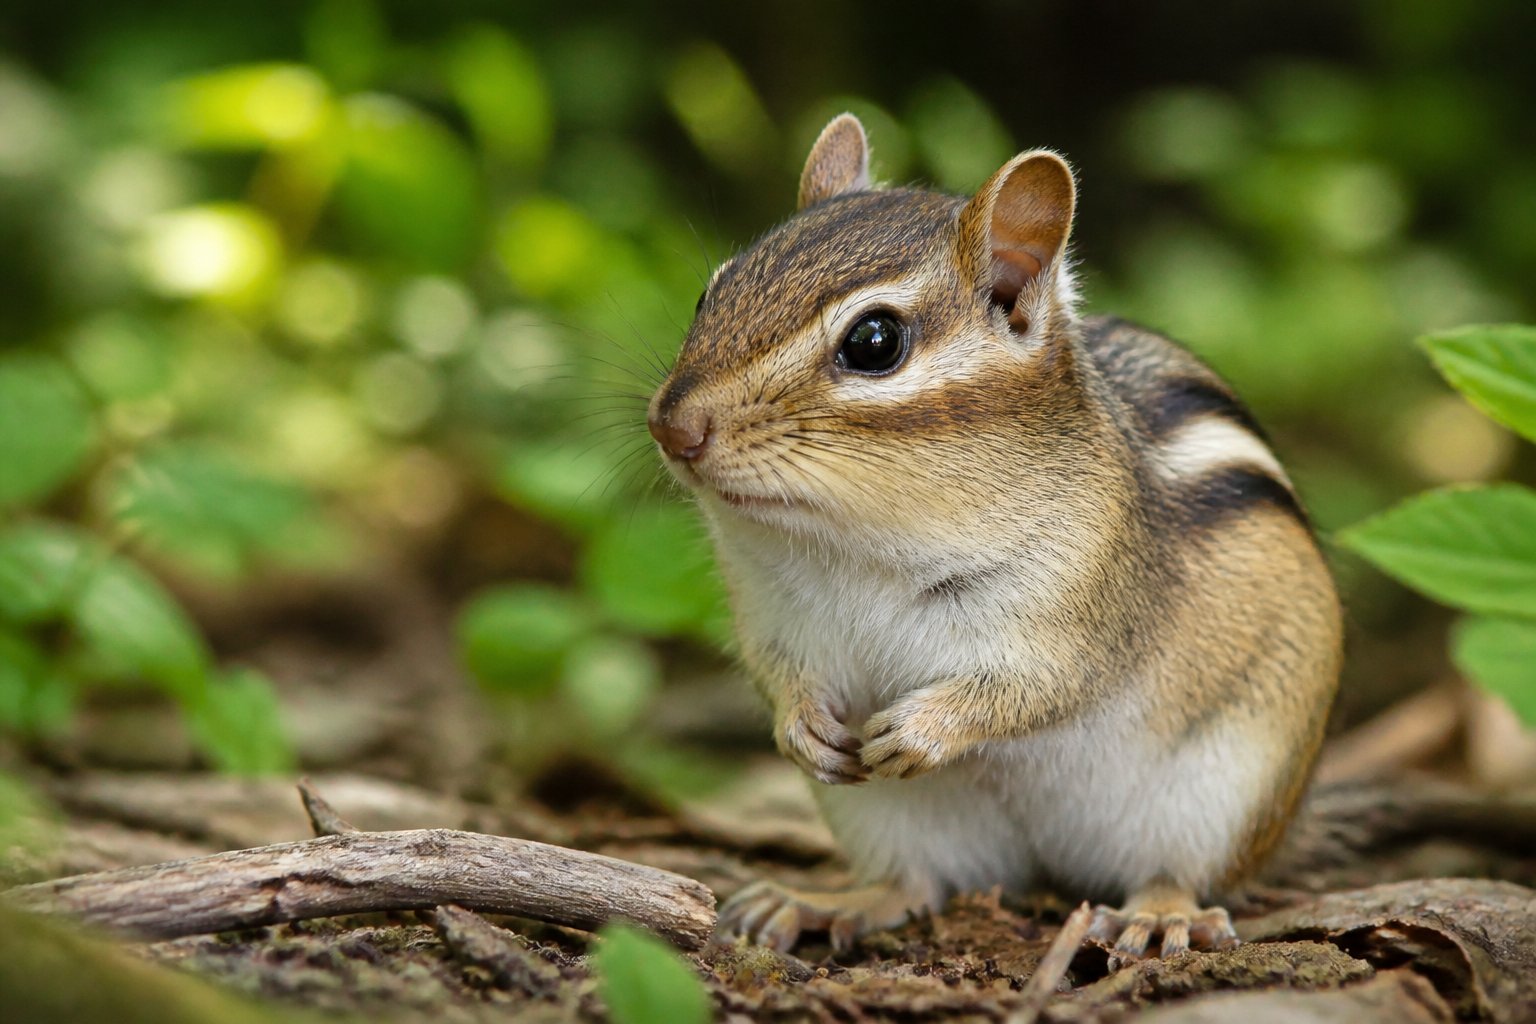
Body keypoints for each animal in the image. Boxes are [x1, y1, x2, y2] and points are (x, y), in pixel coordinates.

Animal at [646, 114, 1343, 958]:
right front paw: (801, 729)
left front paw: (922, 728)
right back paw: (820, 901)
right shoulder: (769, 613)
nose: (672, 426)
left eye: (874, 341)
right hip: (886, 818)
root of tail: (1050, 867)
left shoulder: (1082, 607)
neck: (856, 544)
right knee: (912, 884)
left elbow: (1038, 688)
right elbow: (780, 674)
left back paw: (1158, 913)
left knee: (1176, 872)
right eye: (710, 291)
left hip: (1218, 799)